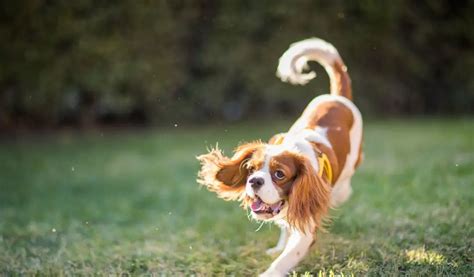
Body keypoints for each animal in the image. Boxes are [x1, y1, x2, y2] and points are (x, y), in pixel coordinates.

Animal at [196, 37, 362, 274]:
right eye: (251, 169)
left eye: (279, 174)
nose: (254, 181)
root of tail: (337, 97)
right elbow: (285, 230)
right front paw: (279, 247)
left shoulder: (306, 225)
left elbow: (284, 259)